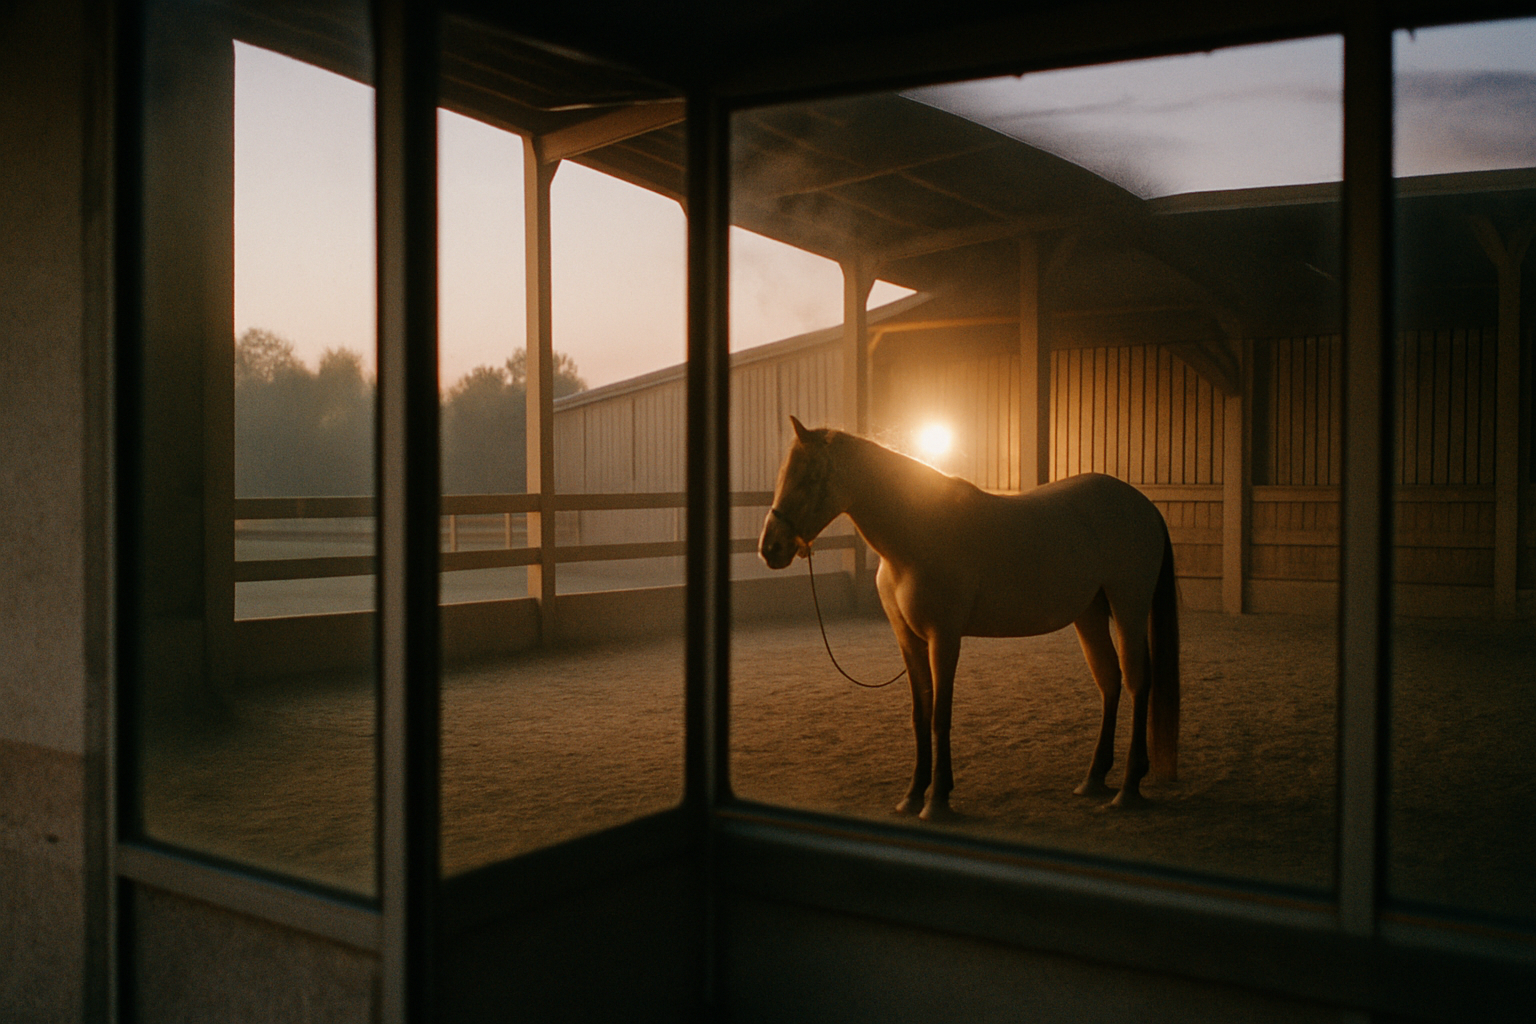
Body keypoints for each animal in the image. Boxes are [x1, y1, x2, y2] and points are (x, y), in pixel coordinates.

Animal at [759, 415, 1179, 818]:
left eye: (809, 478)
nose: (770, 548)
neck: (917, 535)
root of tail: (1143, 505)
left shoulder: (944, 638)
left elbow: (940, 716)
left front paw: (937, 800)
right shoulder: (908, 641)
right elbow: (920, 714)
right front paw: (912, 796)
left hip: (1129, 608)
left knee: (1137, 682)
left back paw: (1127, 789)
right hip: (1089, 614)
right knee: (1109, 681)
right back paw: (1093, 779)